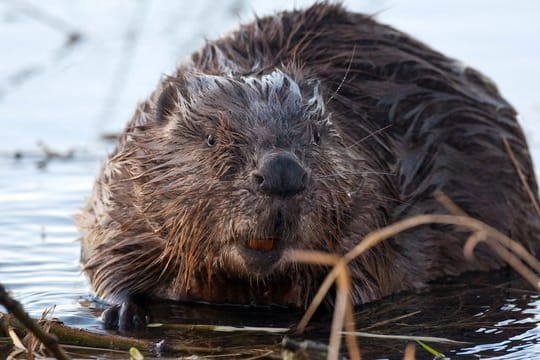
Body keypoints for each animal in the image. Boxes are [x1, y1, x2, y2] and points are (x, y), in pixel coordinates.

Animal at [76, 2, 540, 330]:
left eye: (316, 137)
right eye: (211, 138)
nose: (282, 174)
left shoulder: (374, 203)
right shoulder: (121, 196)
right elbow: (106, 260)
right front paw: (122, 311)